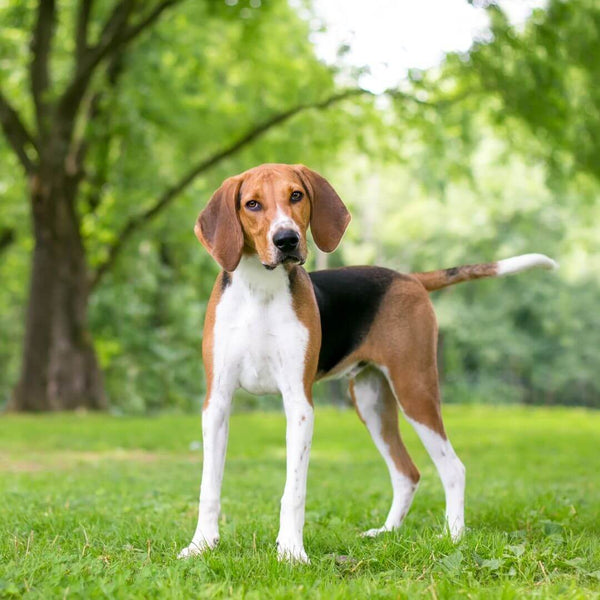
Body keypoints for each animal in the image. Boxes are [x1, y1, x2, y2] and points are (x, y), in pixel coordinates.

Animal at [179, 162, 556, 560]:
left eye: (296, 195)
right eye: (252, 204)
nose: (287, 240)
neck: (258, 291)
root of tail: (408, 278)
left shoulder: (299, 404)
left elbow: (293, 491)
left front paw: (292, 552)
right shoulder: (217, 402)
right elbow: (209, 487)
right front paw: (201, 545)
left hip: (414, 390)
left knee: (453, 468)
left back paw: (453, 537)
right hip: (372, 403)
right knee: (407, 473)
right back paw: (387, 533)